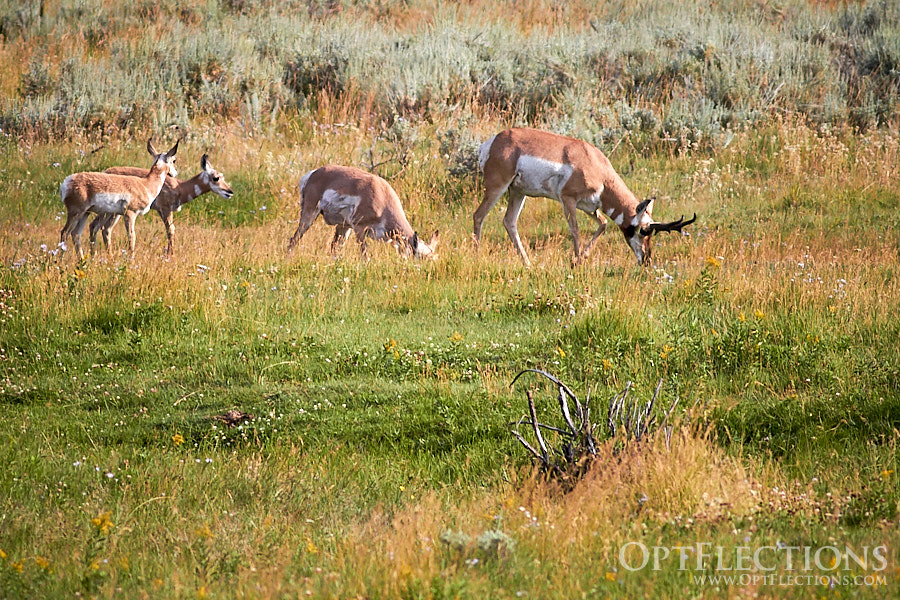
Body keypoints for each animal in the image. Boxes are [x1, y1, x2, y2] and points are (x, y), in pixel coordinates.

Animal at [91, 154, 234, 256]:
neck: (179, 187)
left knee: (104, 228)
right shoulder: (165, 210)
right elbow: (171, 230)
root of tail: (105, 171)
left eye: (222, 176)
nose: (230, 192)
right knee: (97, 226)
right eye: (216, 178)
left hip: (114, 213)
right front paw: (171, 254)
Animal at [287, 165, 438, 260]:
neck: (382, 197)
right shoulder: (359, 229)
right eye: (419, 257)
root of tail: (314, 173)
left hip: (344, 227)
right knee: (294, 239)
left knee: (335, 248)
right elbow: (364, 255)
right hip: (310, 213)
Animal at [473, 128, 695, 266]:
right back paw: (477, 255)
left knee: (509, 221)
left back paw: (527, 263)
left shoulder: (590, 207)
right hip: (498, 187)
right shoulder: (568, 200)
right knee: (479, 215)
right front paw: (576, 261)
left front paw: (582, 257)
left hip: (518, 192)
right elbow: (575, 230)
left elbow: (603, 224)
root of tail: (493, 142)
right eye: (642, 231)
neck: (595, 165)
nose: (646, 260)